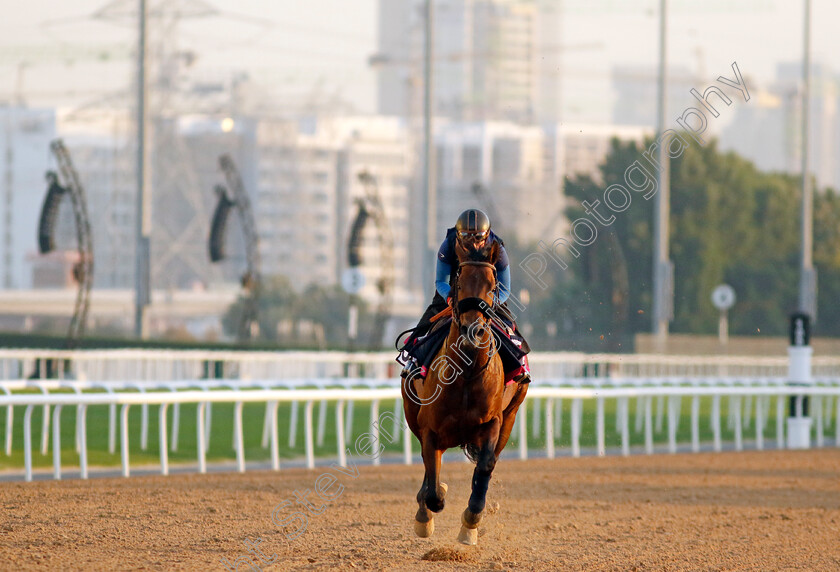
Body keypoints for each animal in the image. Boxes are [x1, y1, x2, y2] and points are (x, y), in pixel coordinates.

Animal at [398, 238, 524, 544]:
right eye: (458, 282)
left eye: (492, 285)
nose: (472, 330)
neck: (466, 374)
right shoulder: (430, 429)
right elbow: (432, 487)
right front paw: (428, 511)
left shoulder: (493, 423)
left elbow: (486, 466)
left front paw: (471, 521)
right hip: (412, 412)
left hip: (511, 415)